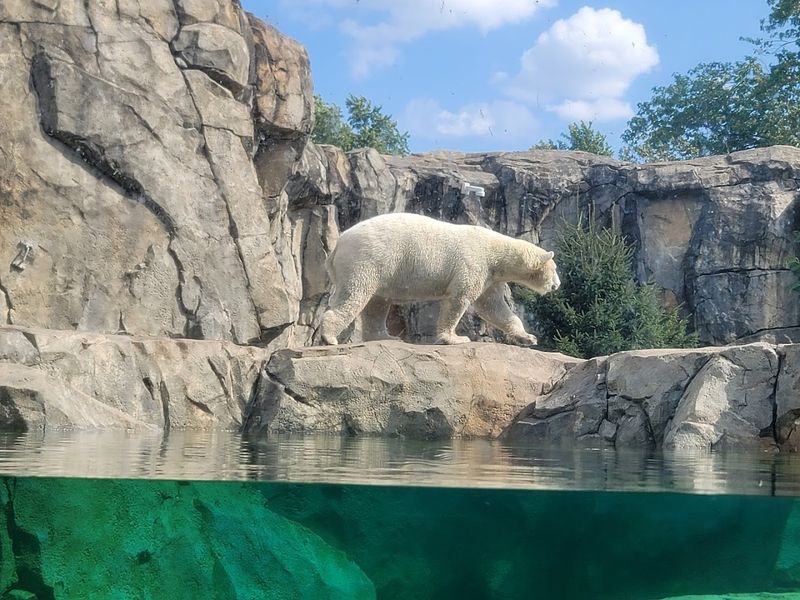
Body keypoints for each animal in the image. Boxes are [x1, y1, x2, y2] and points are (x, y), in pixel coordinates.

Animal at [318, 213, 561, 346]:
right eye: (555, 268)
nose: (557, 285)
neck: (496, 250)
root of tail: (337, 245)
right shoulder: (474, 263)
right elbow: (459, 300)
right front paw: (455, 338)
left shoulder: (490, 277)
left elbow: (494, 307)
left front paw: (528, 338)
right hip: (367, 259)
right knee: (356, 294)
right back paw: (329, 336)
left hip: (382, 269)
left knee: (377, 303)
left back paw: (386, 336)